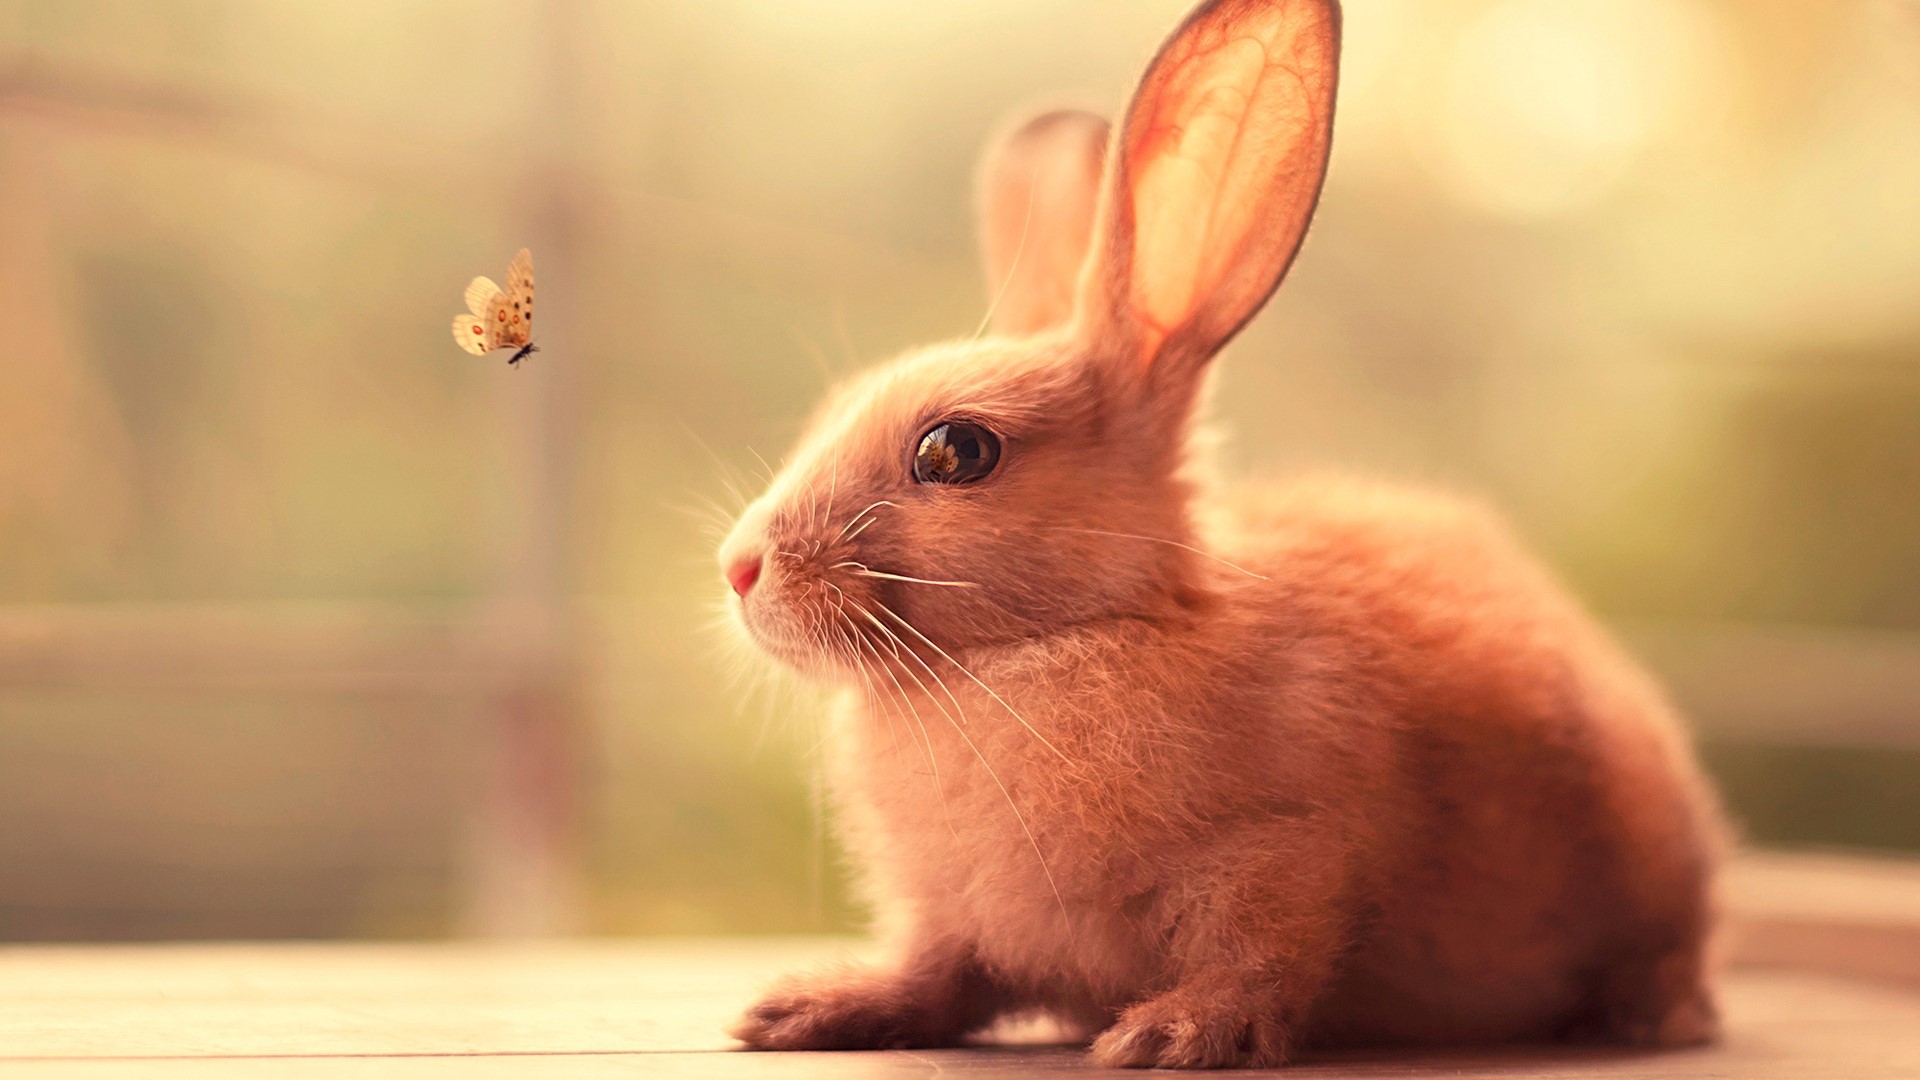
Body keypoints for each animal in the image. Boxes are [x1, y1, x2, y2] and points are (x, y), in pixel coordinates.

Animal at [714, 0, 1726, 1068]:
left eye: (955, 451)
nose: (740, 567)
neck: (1049, 643)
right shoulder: (951, 921)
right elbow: (935, 976)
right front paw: (805, 1010)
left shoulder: (1285, 858)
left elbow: (1257, 961)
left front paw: (1170, 1034)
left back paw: (1653, 1016)